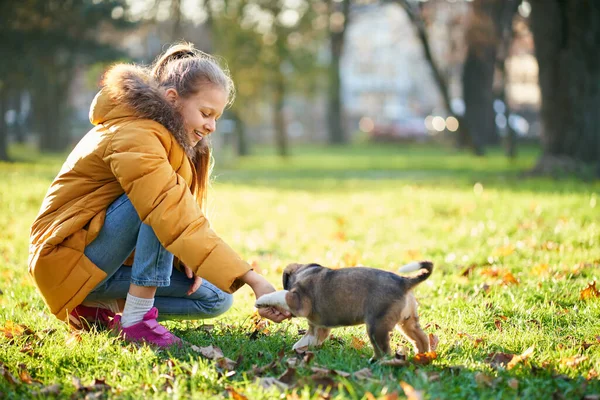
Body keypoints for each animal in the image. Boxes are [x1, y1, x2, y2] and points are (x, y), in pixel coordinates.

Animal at [255, 260, 434, 360]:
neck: (304, 271)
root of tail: (404, 282)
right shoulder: (318, 328)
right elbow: (306, 340)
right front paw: (298, 351)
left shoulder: (297, 301)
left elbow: (281, 294)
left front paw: (260, 301)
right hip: (407, 323)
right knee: (421, 339)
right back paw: (422, 357)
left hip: (377, 327)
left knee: (384, 351)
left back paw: (375, 363)